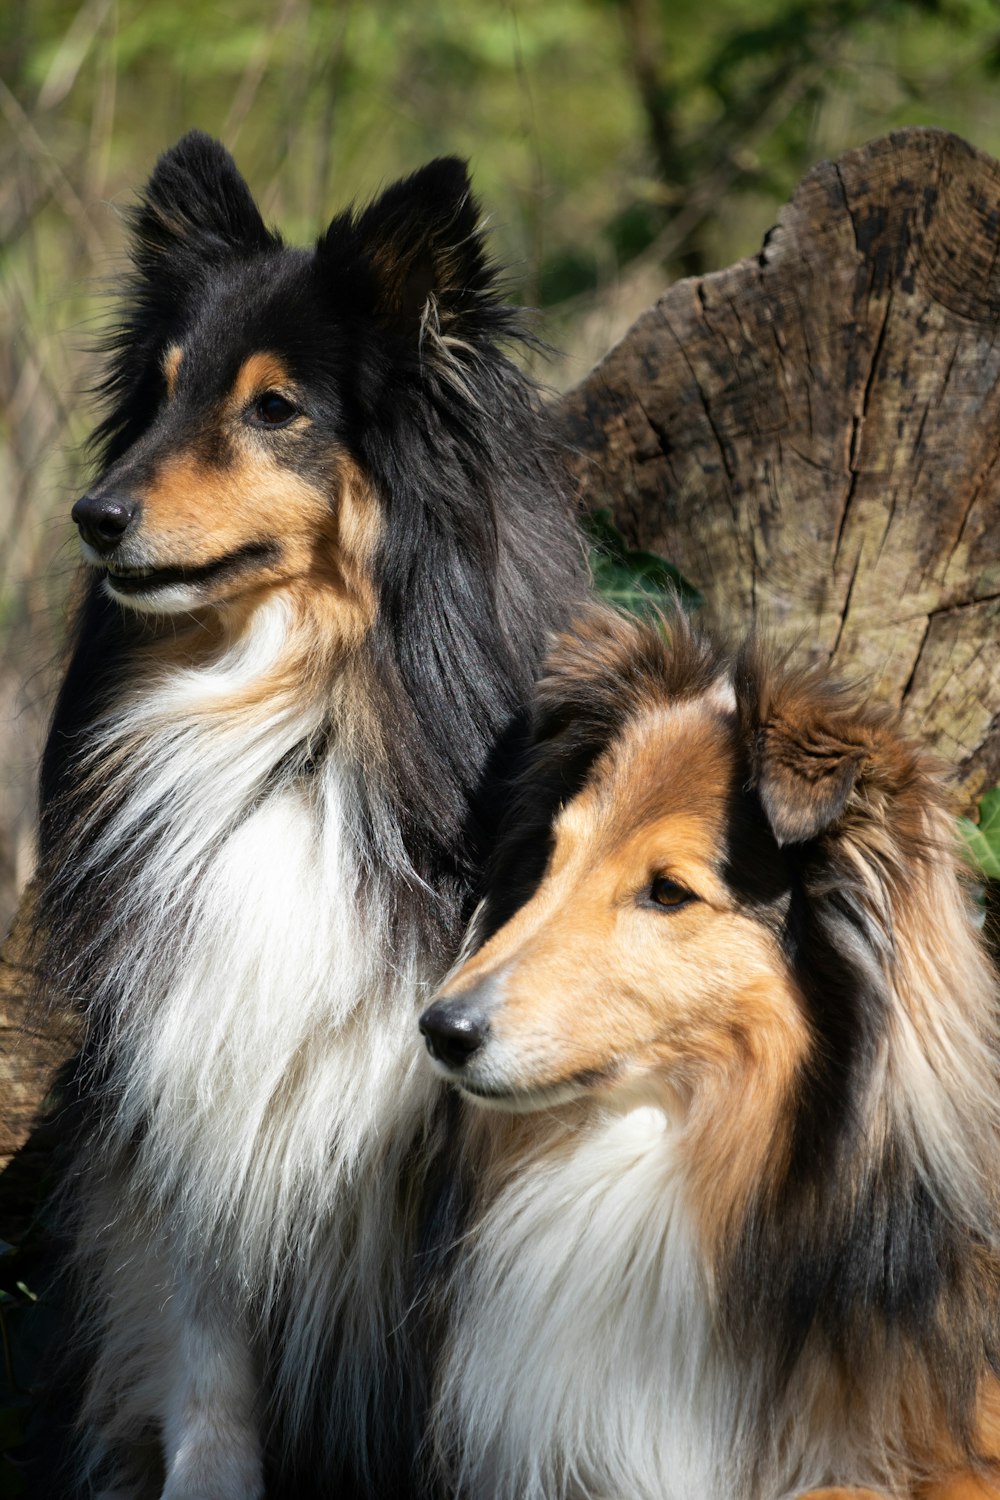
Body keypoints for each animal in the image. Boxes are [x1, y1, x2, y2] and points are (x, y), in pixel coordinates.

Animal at [35, 135, 581, 1494]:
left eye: (274, 409)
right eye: (160, 393)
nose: (92, 516)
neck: (291, 726)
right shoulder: (195, 1069)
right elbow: (207, 1345)